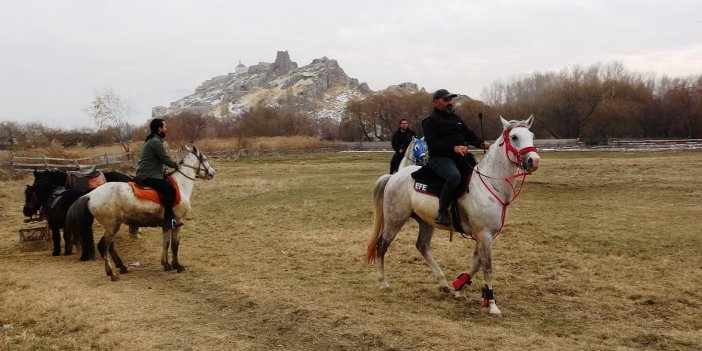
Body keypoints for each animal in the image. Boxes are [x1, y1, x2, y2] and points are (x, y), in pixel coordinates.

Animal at [66, 145, 214, 280]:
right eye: (205, 159)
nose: (212, 173)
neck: (180, 186)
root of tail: (90, 195)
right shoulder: (178, 223)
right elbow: (174, 245)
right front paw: (177, 266)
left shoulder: (166, 225)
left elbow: (165, 243)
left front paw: (166, 264)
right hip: (112, 226)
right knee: (103, 246)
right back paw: (113, 274)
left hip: (111, 227)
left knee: (109, 246)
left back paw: (116, 268)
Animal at [366, 115, 540, 316]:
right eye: (514, 137)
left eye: (532, 136)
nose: (534, 161)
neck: (489, 184)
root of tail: (394, 176)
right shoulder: (484, 234)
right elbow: (487, 266)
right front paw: (492, 303)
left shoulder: (484, 235)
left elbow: (476, 262)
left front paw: (460, 287)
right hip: (395, 220)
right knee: (381, 246)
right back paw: (383, 282)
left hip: (426, 222)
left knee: (422, 246)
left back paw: (442, 282)